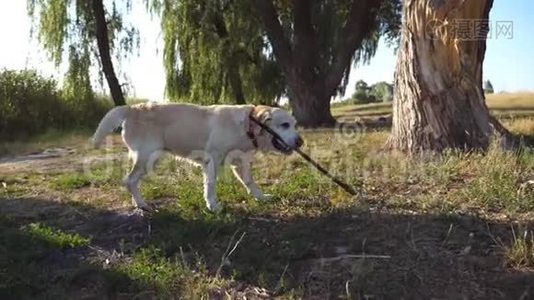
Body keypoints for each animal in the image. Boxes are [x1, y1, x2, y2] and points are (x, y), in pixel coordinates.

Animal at [91, 102, 302, 212]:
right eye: (284, 125)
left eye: (294, 124)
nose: (300, 142)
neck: (246, 126)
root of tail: (131, 107)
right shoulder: (213, 161)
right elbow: (211, 186)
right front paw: (213, 206)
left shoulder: (240, 162)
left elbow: (250, 183)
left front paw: (261, 197)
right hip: (148, 158)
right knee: (129, 180)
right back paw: (142, 205)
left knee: (131, 181)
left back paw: (139, 204)